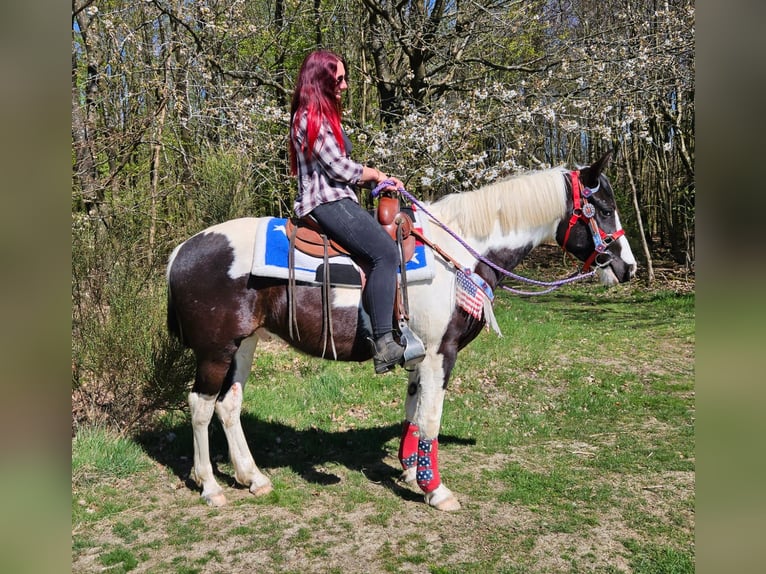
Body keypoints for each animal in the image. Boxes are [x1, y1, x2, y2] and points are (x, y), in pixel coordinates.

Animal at [166, 151, 637, 511]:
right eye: (603, 209)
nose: (627, 268)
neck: (460, 252)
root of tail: (182, 251)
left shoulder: (418, 354)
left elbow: (413, 409)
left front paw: (411, 470)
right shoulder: (441, 352)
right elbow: (430, 418)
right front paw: (436, 490)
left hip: (243, 344)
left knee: (229, 405)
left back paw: (253, 477)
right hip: (215, 349)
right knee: (201, 406)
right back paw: (210, 486)